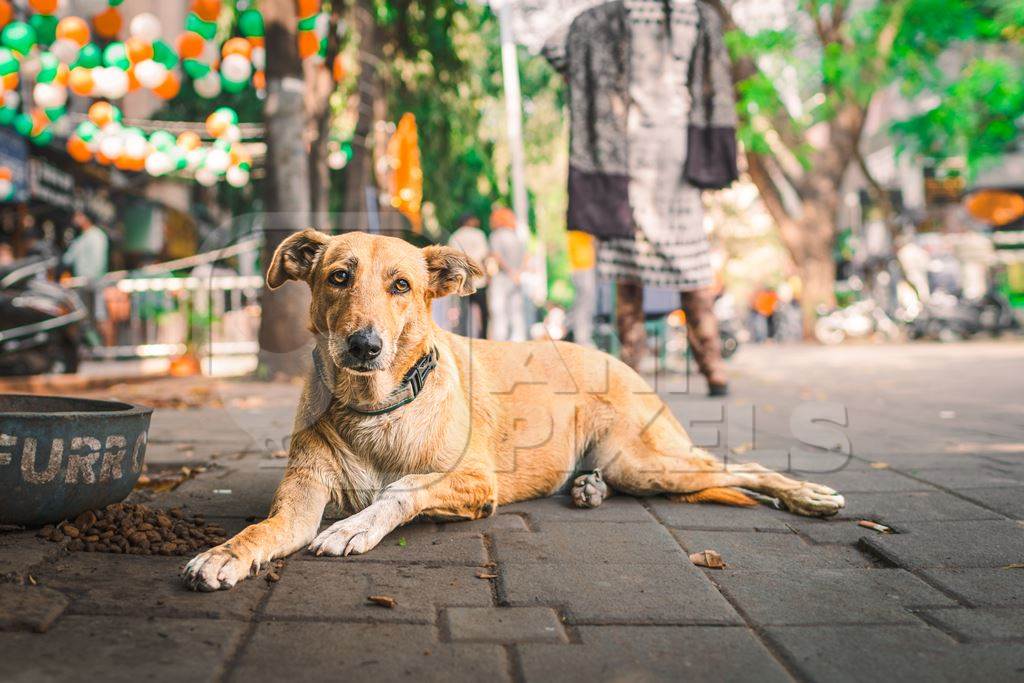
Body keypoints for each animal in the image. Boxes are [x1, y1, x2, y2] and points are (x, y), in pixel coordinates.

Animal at [182, 231, 839, 593]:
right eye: (338, 277)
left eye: (401, 285)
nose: (364, 346)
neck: (375, 412)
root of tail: (616, 359)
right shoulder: (301, 498)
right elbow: (263, 530)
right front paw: (225, 553)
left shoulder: (475, 481)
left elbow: (402, 489)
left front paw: (352, 527)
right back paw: (588, 488)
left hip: (648, 459)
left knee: (742, 469)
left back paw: (809, 495)